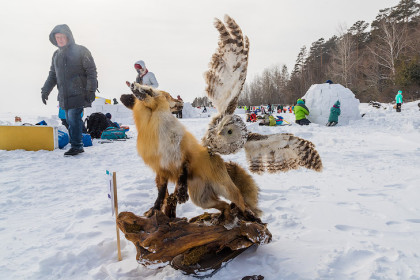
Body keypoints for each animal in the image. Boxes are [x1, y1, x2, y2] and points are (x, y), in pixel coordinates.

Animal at [120, 84, 260, 220]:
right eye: (169, 96)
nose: (181, 101)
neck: (159, 136)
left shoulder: (185, 155)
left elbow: (183, 173)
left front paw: (181, 193)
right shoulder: (161, 169)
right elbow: (161, 193)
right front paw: (154, 209)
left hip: (224, 189)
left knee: (240, 200)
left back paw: (249, 215)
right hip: (201, 200)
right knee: (225, 205)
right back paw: (222, 217)